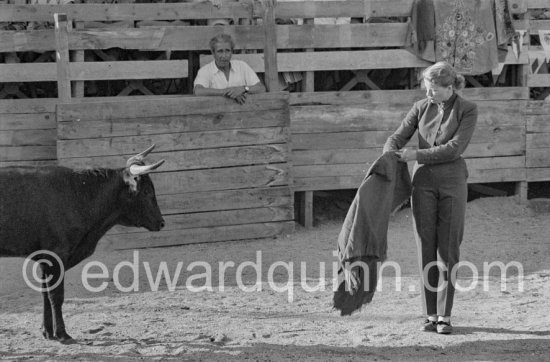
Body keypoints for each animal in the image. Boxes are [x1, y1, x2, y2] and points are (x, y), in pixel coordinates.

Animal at [0, 145, 164, 342]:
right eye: (147, 192)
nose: (161, 222)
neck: (80, 195)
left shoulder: (44, 259)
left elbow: (45, 294)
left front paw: (47, 331)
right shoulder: (57, 255)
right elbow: (56, 295)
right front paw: (62, 333)